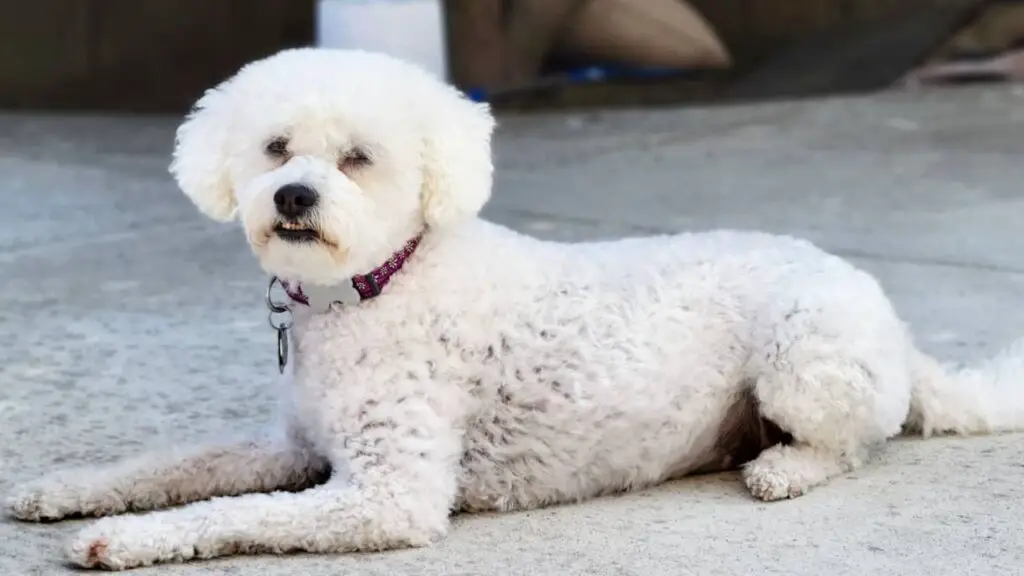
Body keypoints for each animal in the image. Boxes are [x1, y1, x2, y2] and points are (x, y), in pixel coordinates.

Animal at [8, 47, 1024, 565]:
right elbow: (183, 465)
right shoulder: (295, 447)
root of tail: (889, 316)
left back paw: (783, 469)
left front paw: (123, 538)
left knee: (853, 445)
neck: (376, 285)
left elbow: (231, 512)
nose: (293, 197)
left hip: (803, 360)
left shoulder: (388, 496)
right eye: (276, 147)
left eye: (358, 159)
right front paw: (67, 490)